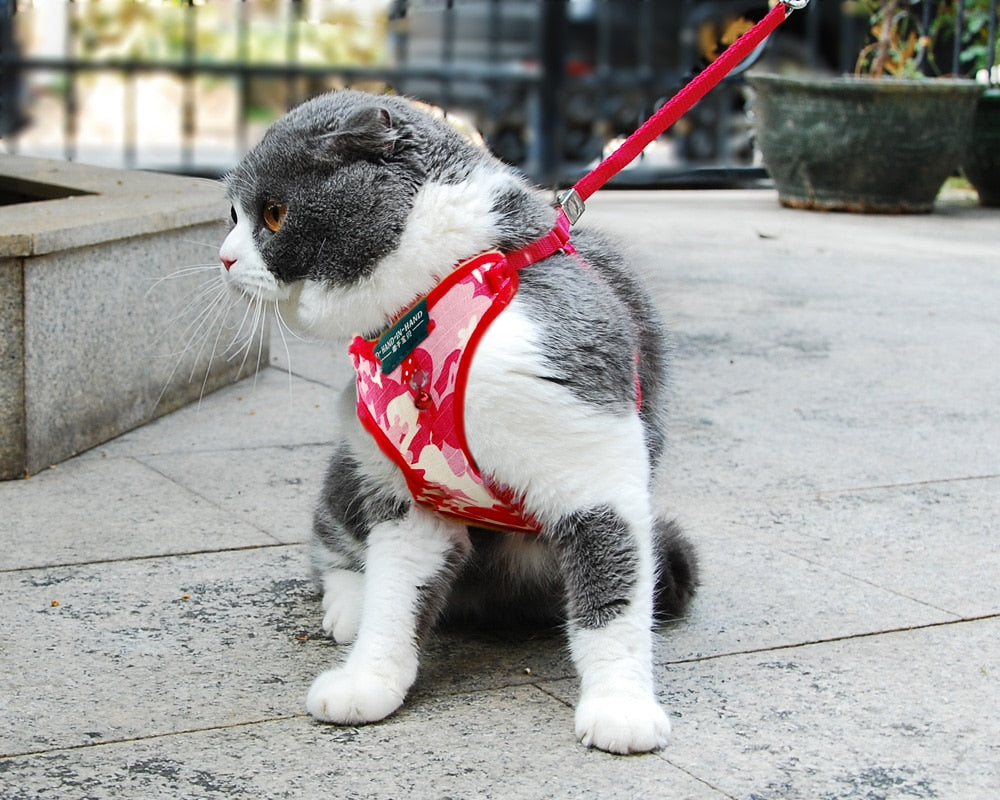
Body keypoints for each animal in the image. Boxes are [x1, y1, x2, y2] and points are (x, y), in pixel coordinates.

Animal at [217, 90, 704, 752]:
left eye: (272, 215)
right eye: (232, 215)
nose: (224, 258)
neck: (443, 287)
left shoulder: (592, 454)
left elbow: (614, 600)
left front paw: (621, 708)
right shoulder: (412, 491)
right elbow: (395, 595)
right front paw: (369, 679)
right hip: (355, 451)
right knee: (333, 542)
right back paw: (349, 605)